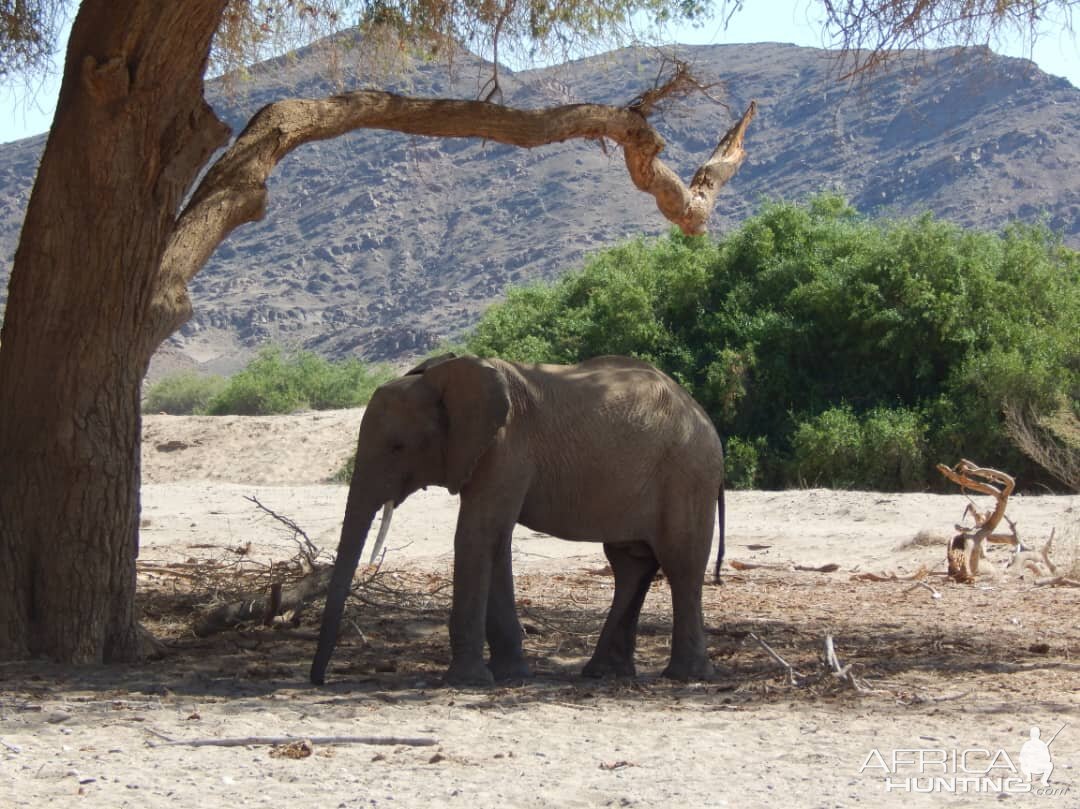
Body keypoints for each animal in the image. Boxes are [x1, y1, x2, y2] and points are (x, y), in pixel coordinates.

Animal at [313, 349, 725, 686]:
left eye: (398, 447)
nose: (318, 680)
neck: (445, 375)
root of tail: (703, 415)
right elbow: (495, 540)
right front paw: (510, 675)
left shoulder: (506, 448)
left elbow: (476, 534)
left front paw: (467, 682)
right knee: (630, 564)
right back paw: (604, 673)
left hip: (687, 474)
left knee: (680, 563)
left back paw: (685, 676)